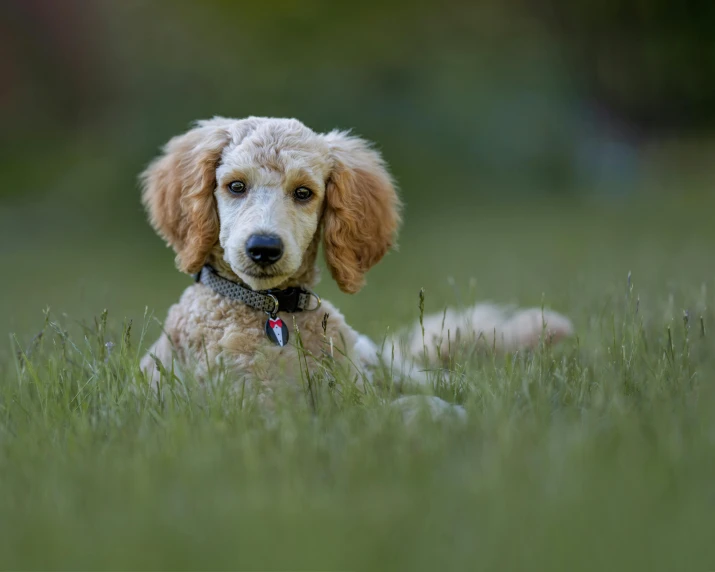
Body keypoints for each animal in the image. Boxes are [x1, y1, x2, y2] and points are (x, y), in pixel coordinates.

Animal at [141, 117, 576, 412]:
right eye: (235, 186)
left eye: (304, 193)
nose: (263, 248)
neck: (272, 311)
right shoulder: (266, 412)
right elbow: (394, 413)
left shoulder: (353, 387)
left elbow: (408, 404)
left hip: (377, 361)